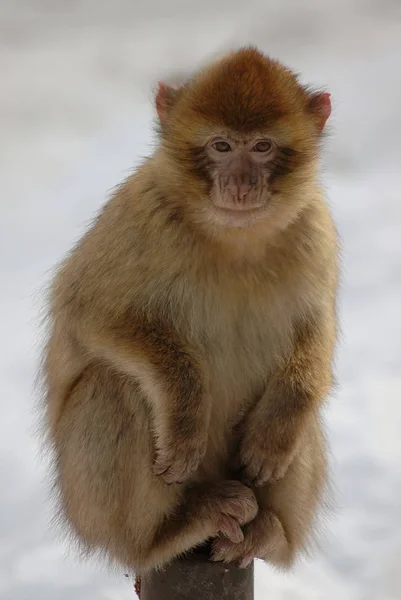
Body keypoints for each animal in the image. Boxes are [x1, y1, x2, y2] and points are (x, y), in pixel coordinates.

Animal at [39, 48, 338, 576]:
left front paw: (277, 428)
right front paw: (186, 416)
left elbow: (315, 334)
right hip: (89, 512)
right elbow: (90, 312)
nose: (240, 185)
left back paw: (271, 533)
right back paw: (166, 533)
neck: (234, 240)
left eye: (261, 146)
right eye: (221, 146)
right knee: (112, 386)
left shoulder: (314, 229)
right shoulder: (139, 216)